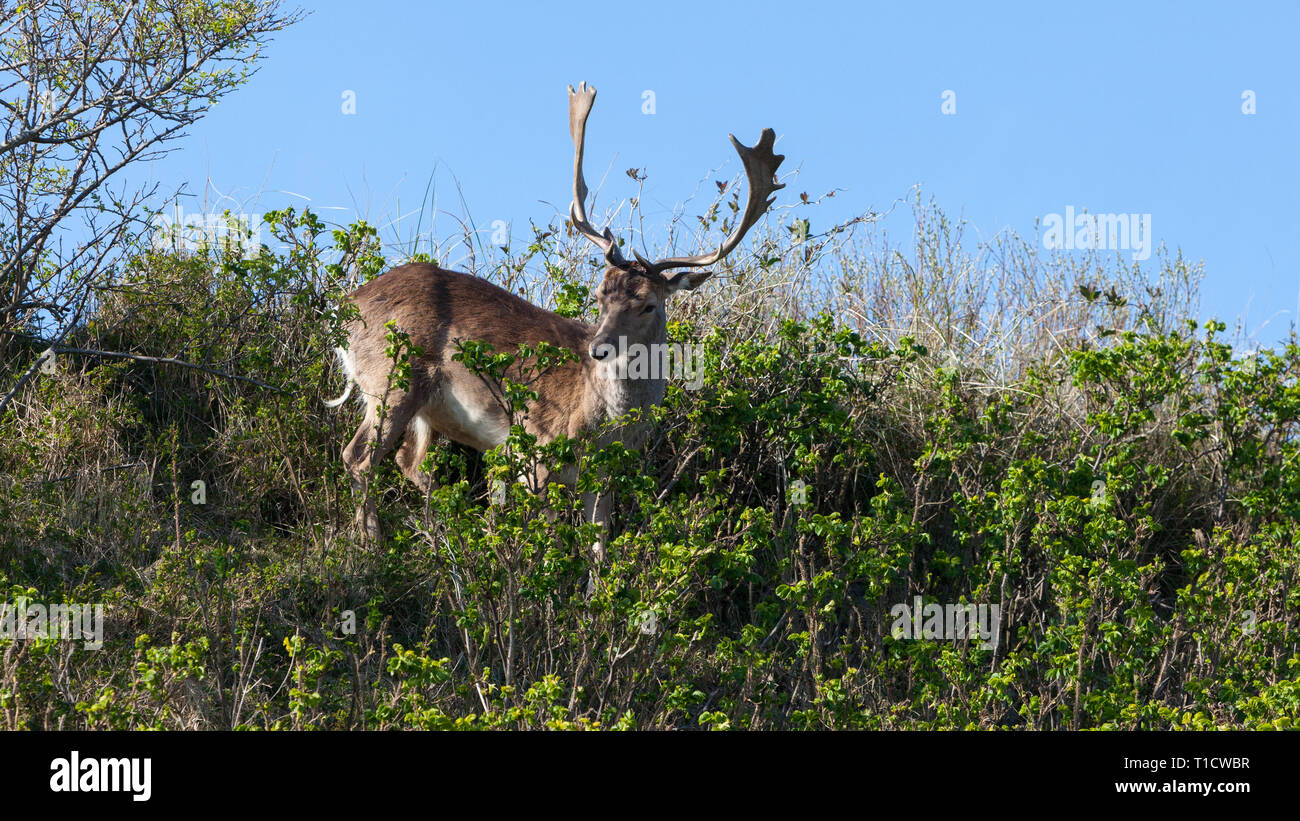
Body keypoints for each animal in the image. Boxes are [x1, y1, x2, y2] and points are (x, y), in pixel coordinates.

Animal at [323, 80, 780, 555]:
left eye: (648, 304)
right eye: (600, 294)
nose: (598, 349)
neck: (602, 425)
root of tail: (344, 307)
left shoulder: (605, 472)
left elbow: (599, 544)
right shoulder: (535, 448)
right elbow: (551, 538)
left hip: (422, 407)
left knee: (409, 462)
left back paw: (441, 535)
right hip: (391, 378)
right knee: (359, 456)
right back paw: (372, 546)